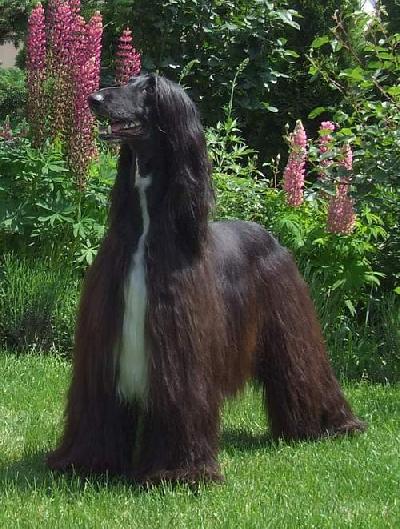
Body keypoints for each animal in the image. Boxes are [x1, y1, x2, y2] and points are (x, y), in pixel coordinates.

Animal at [47, 73, 365, 484]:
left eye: (148, 89)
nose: (95, 99)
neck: (148, 231)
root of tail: (270, 233)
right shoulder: (105, 346)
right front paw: (85, 461)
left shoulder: (180, 345)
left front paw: (179, 472)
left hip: (290, 323)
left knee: (303, 370)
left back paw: (331, 425)